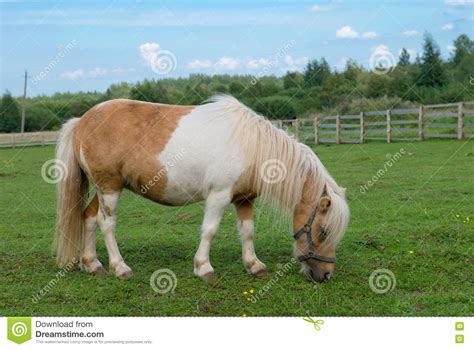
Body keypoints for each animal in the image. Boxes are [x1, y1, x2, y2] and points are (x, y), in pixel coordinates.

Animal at [56, 94, 352, 282]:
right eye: (323, 231)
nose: (325, 276)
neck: (251, 145)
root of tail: (82, 121)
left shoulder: (244, 199)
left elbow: (247, 232)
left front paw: (253, 265)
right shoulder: (218, 196)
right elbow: (209, 231)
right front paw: (203, 268)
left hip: (102, 188)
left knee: (89, 218)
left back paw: (92, 264)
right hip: (110, 189)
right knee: (107, 224)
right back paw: (120, 268)